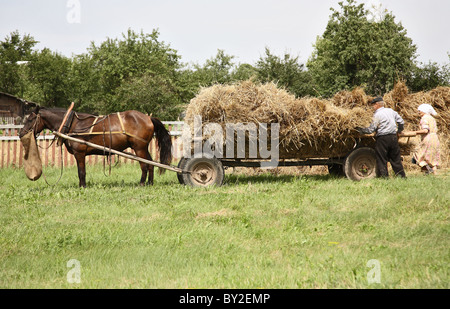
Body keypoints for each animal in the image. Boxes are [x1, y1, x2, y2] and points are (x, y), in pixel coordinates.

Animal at [18, 106, 172, 186]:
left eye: (30, 119)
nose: (21, 133)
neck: (72, 124)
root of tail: (148, 117)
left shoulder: (79, 153)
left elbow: (81, 172)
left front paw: (82, 187)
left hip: (139, 148)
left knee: (144, 165)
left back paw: (141, 183)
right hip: (143, 148)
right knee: (151, 164)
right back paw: (150, 183)